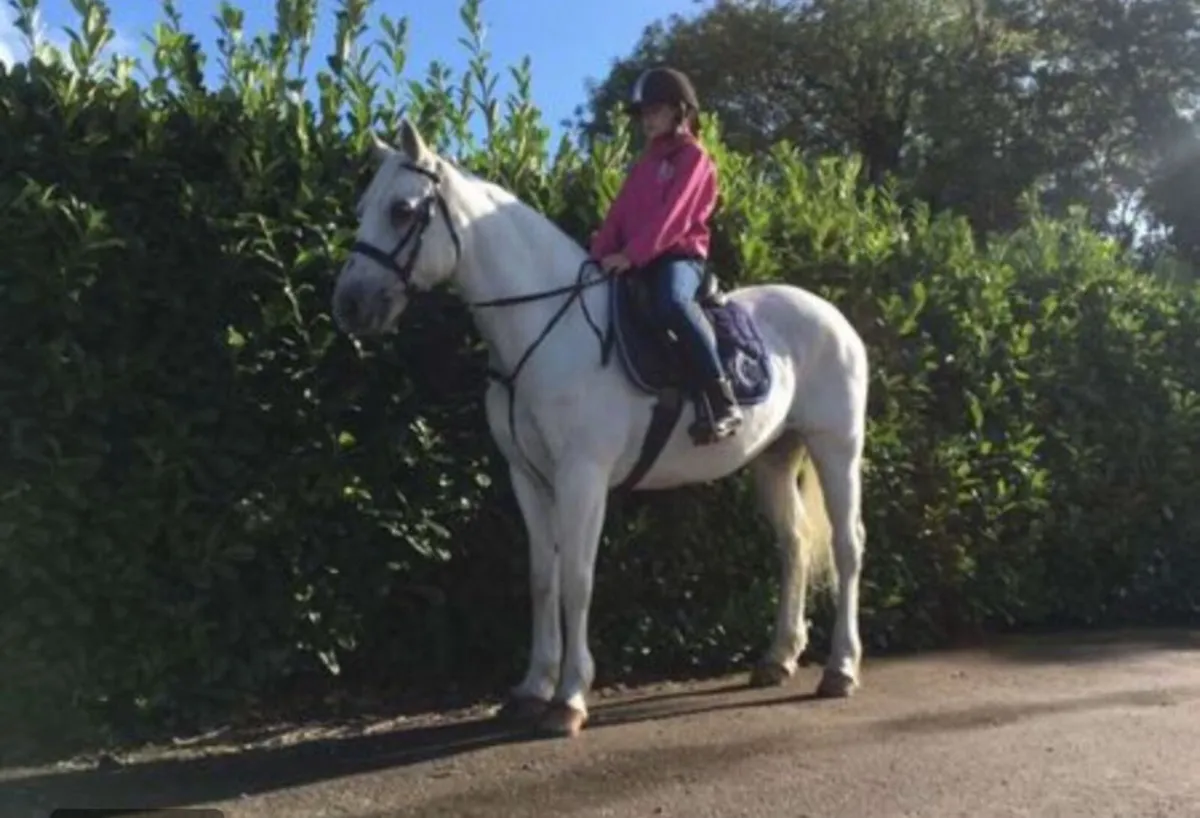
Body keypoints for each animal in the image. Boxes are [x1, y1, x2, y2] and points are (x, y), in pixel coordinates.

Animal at [331, 118, 869, 738]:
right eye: (362, 207)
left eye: (401, 210)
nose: (349, 305)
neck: (547, 329)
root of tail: (835, 317)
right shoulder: (528, 478)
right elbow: (543, 577)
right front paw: (531, 689)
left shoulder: (581, 477)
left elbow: (577, 579)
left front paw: (568, 699)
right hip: (776, 457)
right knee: (794, 545)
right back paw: (778, 658)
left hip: (836, 449)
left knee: (847, 546)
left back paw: (841, 669)